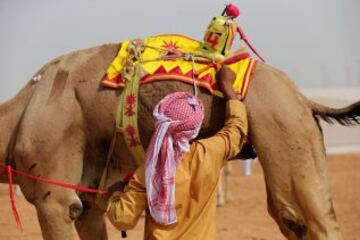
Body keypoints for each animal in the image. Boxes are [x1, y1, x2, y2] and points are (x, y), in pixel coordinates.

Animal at [0, 42, 358, 239]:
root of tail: (303, 97)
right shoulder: (87, 200)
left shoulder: (54, 195)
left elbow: (60, 207)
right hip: (299, 131)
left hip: (284, 125)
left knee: (306, 219)